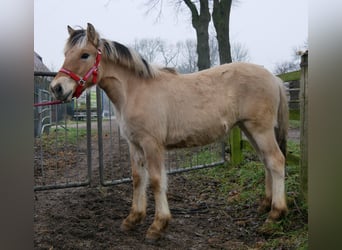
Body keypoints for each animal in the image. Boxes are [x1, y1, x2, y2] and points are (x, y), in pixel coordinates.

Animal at [48, 23, 288, 240]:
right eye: (66, 54)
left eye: (85, 55)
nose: (57, 88)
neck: (134, 91)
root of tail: (274, 78)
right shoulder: (134, 144)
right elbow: (138, 178)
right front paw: (133, 219)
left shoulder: (152, 144)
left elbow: (155, 180)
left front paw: (158, 225)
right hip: (250, 129)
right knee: (266, 162)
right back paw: (265, 205)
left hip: (261, 130)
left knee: (276, 161)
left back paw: (275, 215)